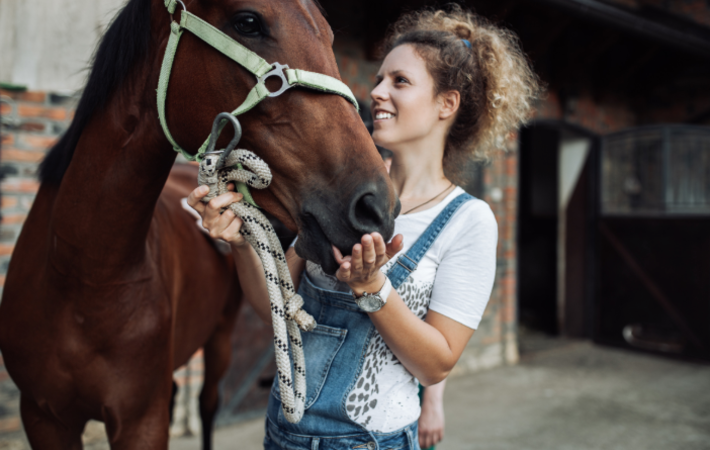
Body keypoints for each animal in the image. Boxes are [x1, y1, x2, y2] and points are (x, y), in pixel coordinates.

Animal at [0, 0, 400, 448]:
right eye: (248, 21)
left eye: (331, 36)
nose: (376, 206)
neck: (80, 276)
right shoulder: (42, 416)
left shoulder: (141, 419)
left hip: (220, 338)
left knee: (208, 403)